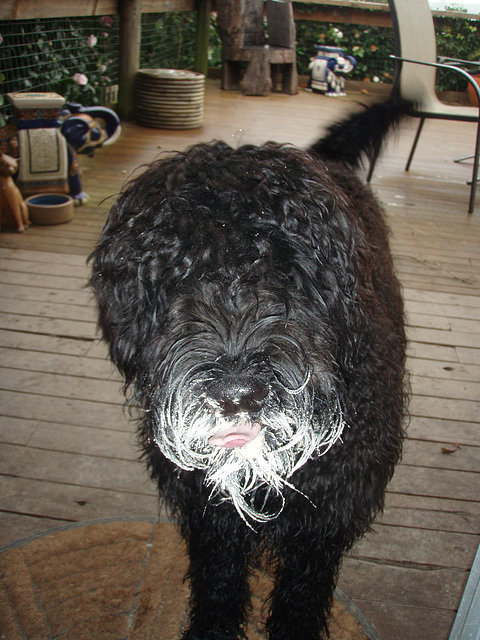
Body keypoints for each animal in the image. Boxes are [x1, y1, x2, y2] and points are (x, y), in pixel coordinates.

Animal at [90, 101, 408, 640]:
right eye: (178, 275)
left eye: (286, 270)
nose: (239, 395)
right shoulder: (211, 524)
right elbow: (218, 588)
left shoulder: (321, 528)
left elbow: (300, 598)